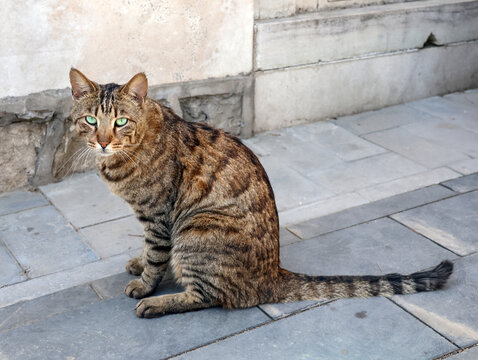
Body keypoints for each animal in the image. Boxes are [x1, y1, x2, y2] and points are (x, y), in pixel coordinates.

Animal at [69, 69, 454, 320]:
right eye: (90, 120)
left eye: (120, 122)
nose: (102, 141)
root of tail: (274, 273)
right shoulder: (149, 217)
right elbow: (147, 250)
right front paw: (138, 262)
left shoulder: (158, 216)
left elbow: (155, 255)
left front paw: (145, 284)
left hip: (196, 229)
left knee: (208, 296)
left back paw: (157, 305)